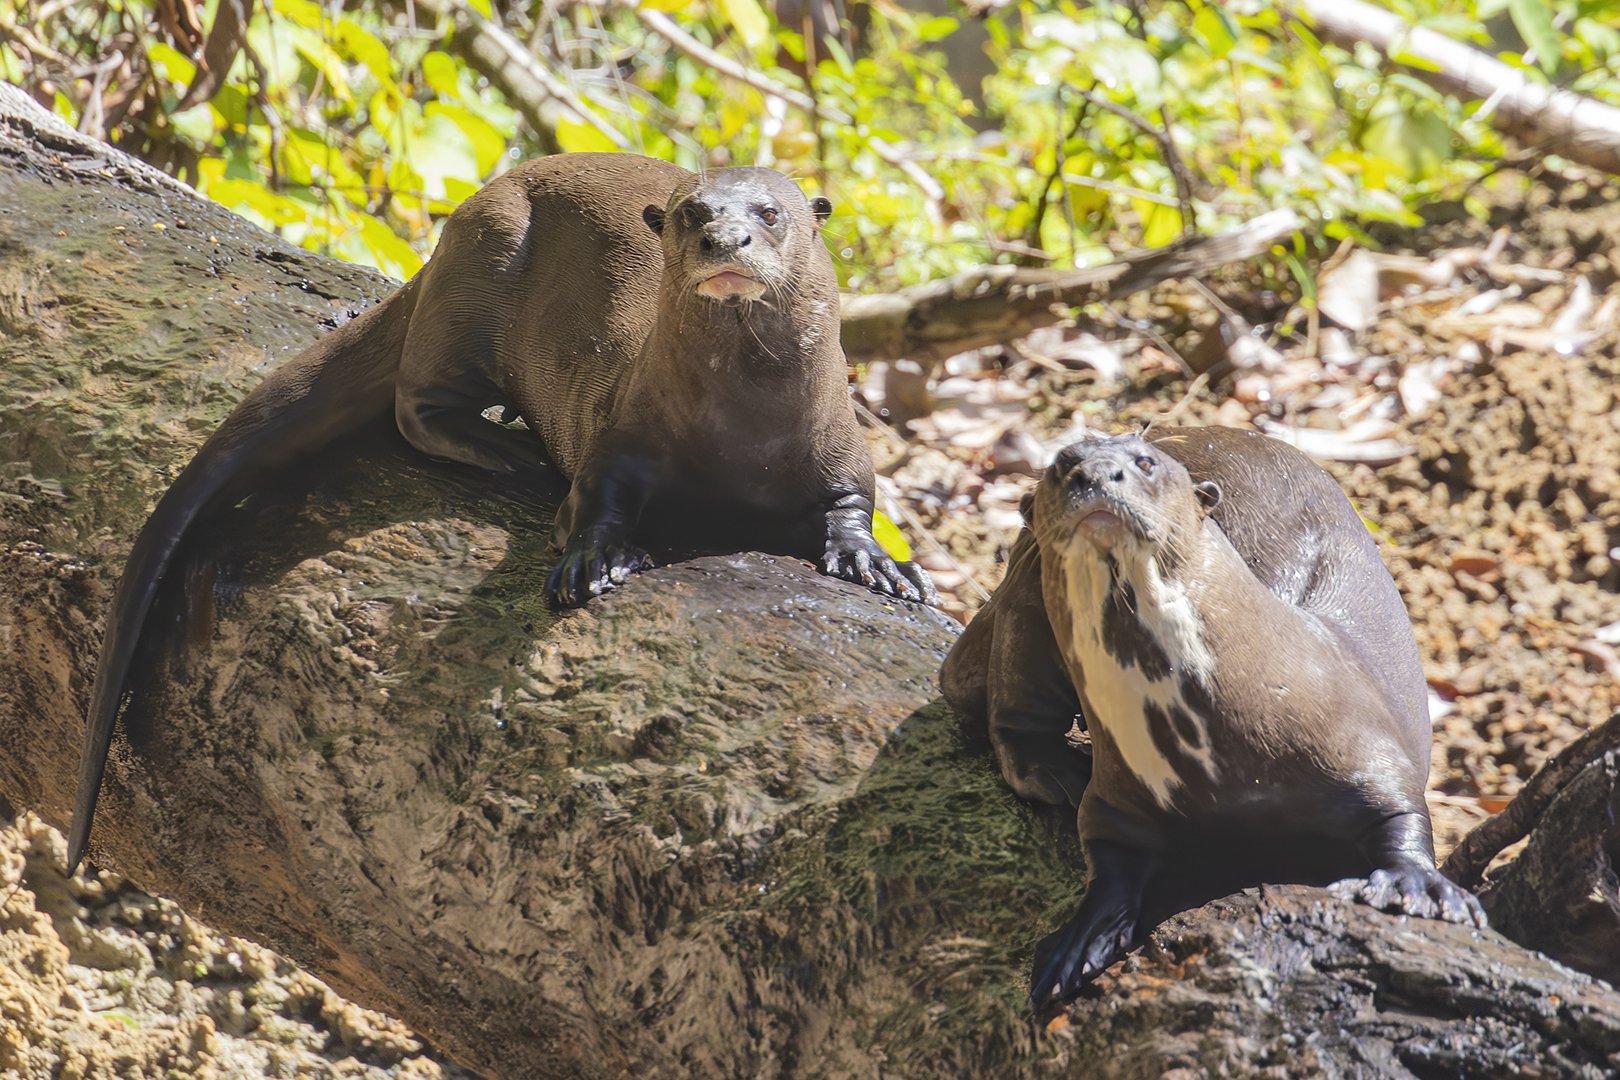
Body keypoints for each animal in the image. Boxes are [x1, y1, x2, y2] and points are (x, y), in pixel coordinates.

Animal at [69, 152, 935, 872]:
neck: (741, 434)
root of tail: (467, 213)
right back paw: (506, 450)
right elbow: (598, 495)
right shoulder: (620, 429)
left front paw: (880, 565)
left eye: (768, 212)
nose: (724, 238)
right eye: (691, 213)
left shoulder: (841, 446)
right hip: (480, 275)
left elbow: (853, 504)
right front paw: (594, 559)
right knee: (412, 404)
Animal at [940, 427, 1482, 1006]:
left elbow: (1401, 811)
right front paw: (1080, 939)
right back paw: (1055, 772)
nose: (1095, 475)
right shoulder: (1116, 791)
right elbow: (1106, 851)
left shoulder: (1362, 743)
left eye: (1145, 463)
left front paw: (1416, 887)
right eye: (1064, 463)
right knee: (1012, 698)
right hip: (1026, 596)